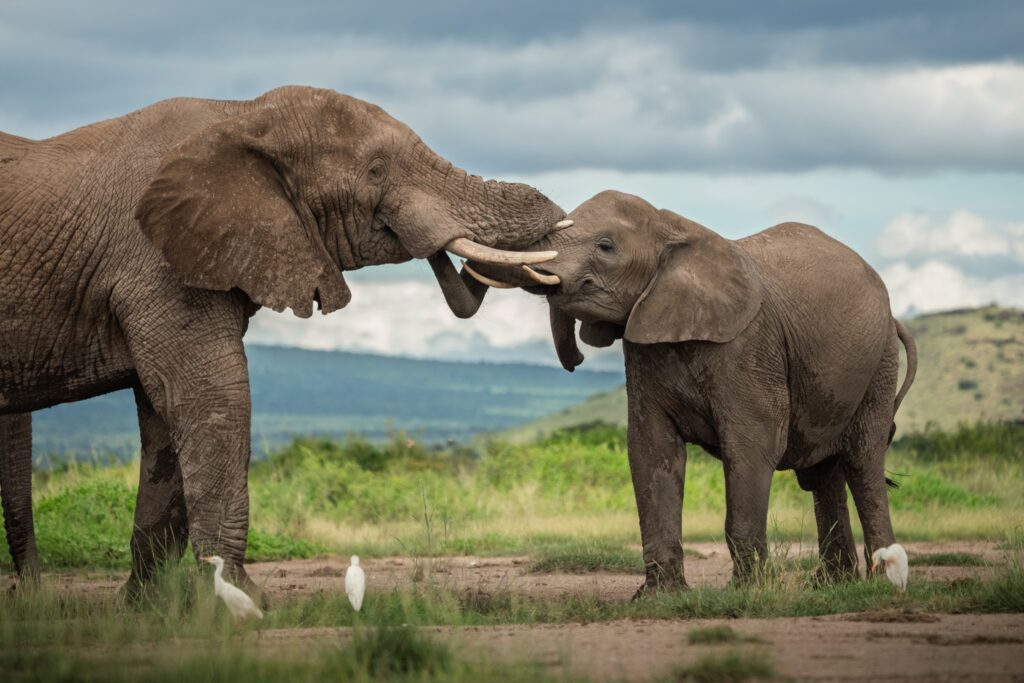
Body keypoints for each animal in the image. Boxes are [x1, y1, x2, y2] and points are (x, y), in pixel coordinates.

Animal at [0, 86, 566, 594]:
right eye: (376, 169)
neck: (241, 114)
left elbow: (165, 416)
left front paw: (150, 610)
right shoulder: (153, 262)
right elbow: (214, 396)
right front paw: (236, 601)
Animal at [466, 190, 918, 594]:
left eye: (606, 246)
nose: (573, 360)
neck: (674, 230)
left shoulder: (748, 345)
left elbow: (752, 446)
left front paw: (746, 593)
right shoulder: (645, 345)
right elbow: (651, 451)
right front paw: (660, 597)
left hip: (879, 365)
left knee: (862, 463)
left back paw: (881, 581)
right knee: (823, 474)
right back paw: (830, 586)